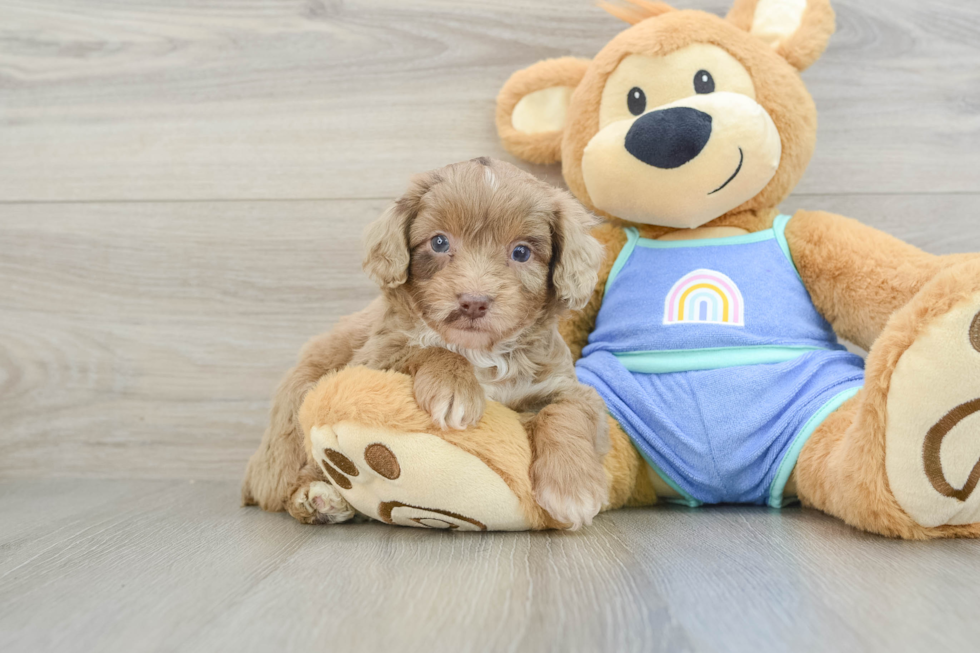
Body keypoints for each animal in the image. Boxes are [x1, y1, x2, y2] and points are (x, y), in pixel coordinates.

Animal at [243, 158, 612, 528]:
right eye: (439, 243)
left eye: (521, 252)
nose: (473, 302)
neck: (479, 352)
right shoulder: (371, 360)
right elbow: (427, 348)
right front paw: (455, 388)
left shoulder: (563, 383)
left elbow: (567, 410)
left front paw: (573, 489)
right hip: (299, 404)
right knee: (286, 481)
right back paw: (318, 497)